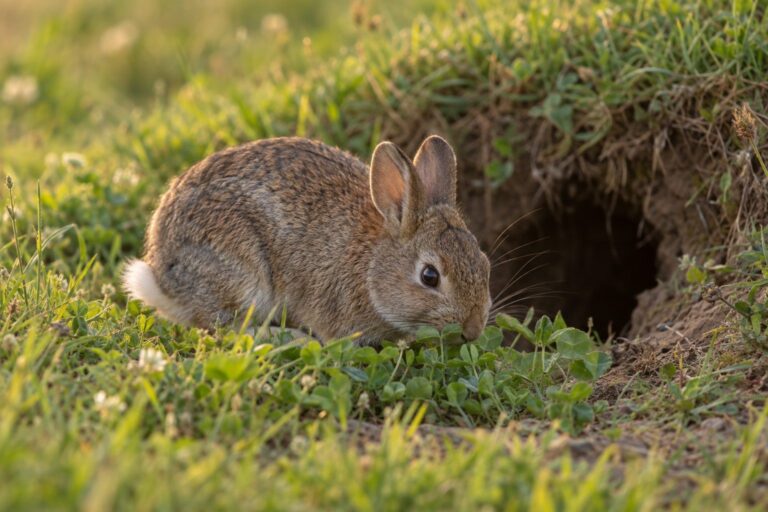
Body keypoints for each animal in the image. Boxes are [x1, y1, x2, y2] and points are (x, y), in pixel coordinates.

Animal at [122, 135, 491, 345]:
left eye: (485, 263)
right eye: (430, 276)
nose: (473, 330)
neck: (371, 264)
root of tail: (162, 278)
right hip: (239, 272)